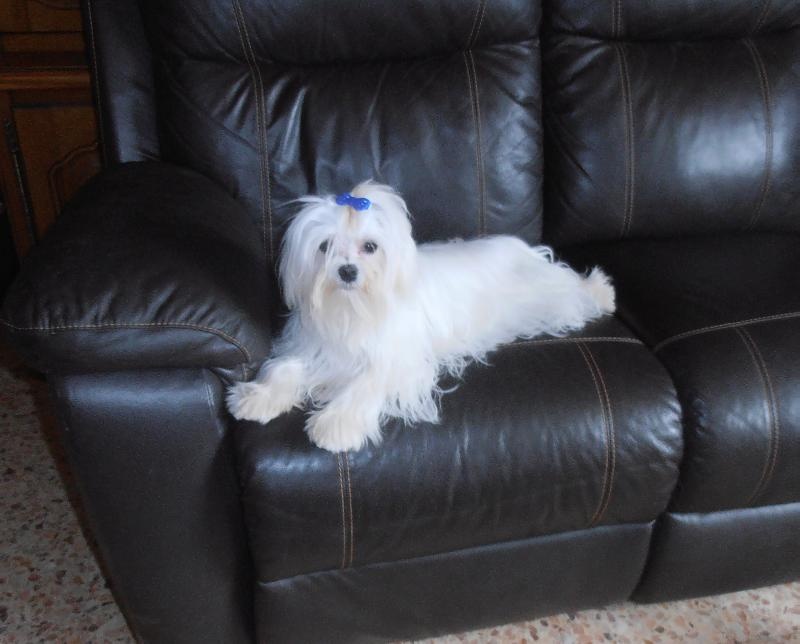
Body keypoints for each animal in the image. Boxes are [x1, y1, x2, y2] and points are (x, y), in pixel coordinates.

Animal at [227, 182, 615, 452]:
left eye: (370, 247)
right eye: (325, 246)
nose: (347, 271)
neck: (354, 309)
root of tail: (519, 246)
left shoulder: (400, 362)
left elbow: (367, 381)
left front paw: (336, 424)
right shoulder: (314, 346)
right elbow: (286, 367)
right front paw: (257, 397)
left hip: (545, 296)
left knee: (574, 288)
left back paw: (602, 291)